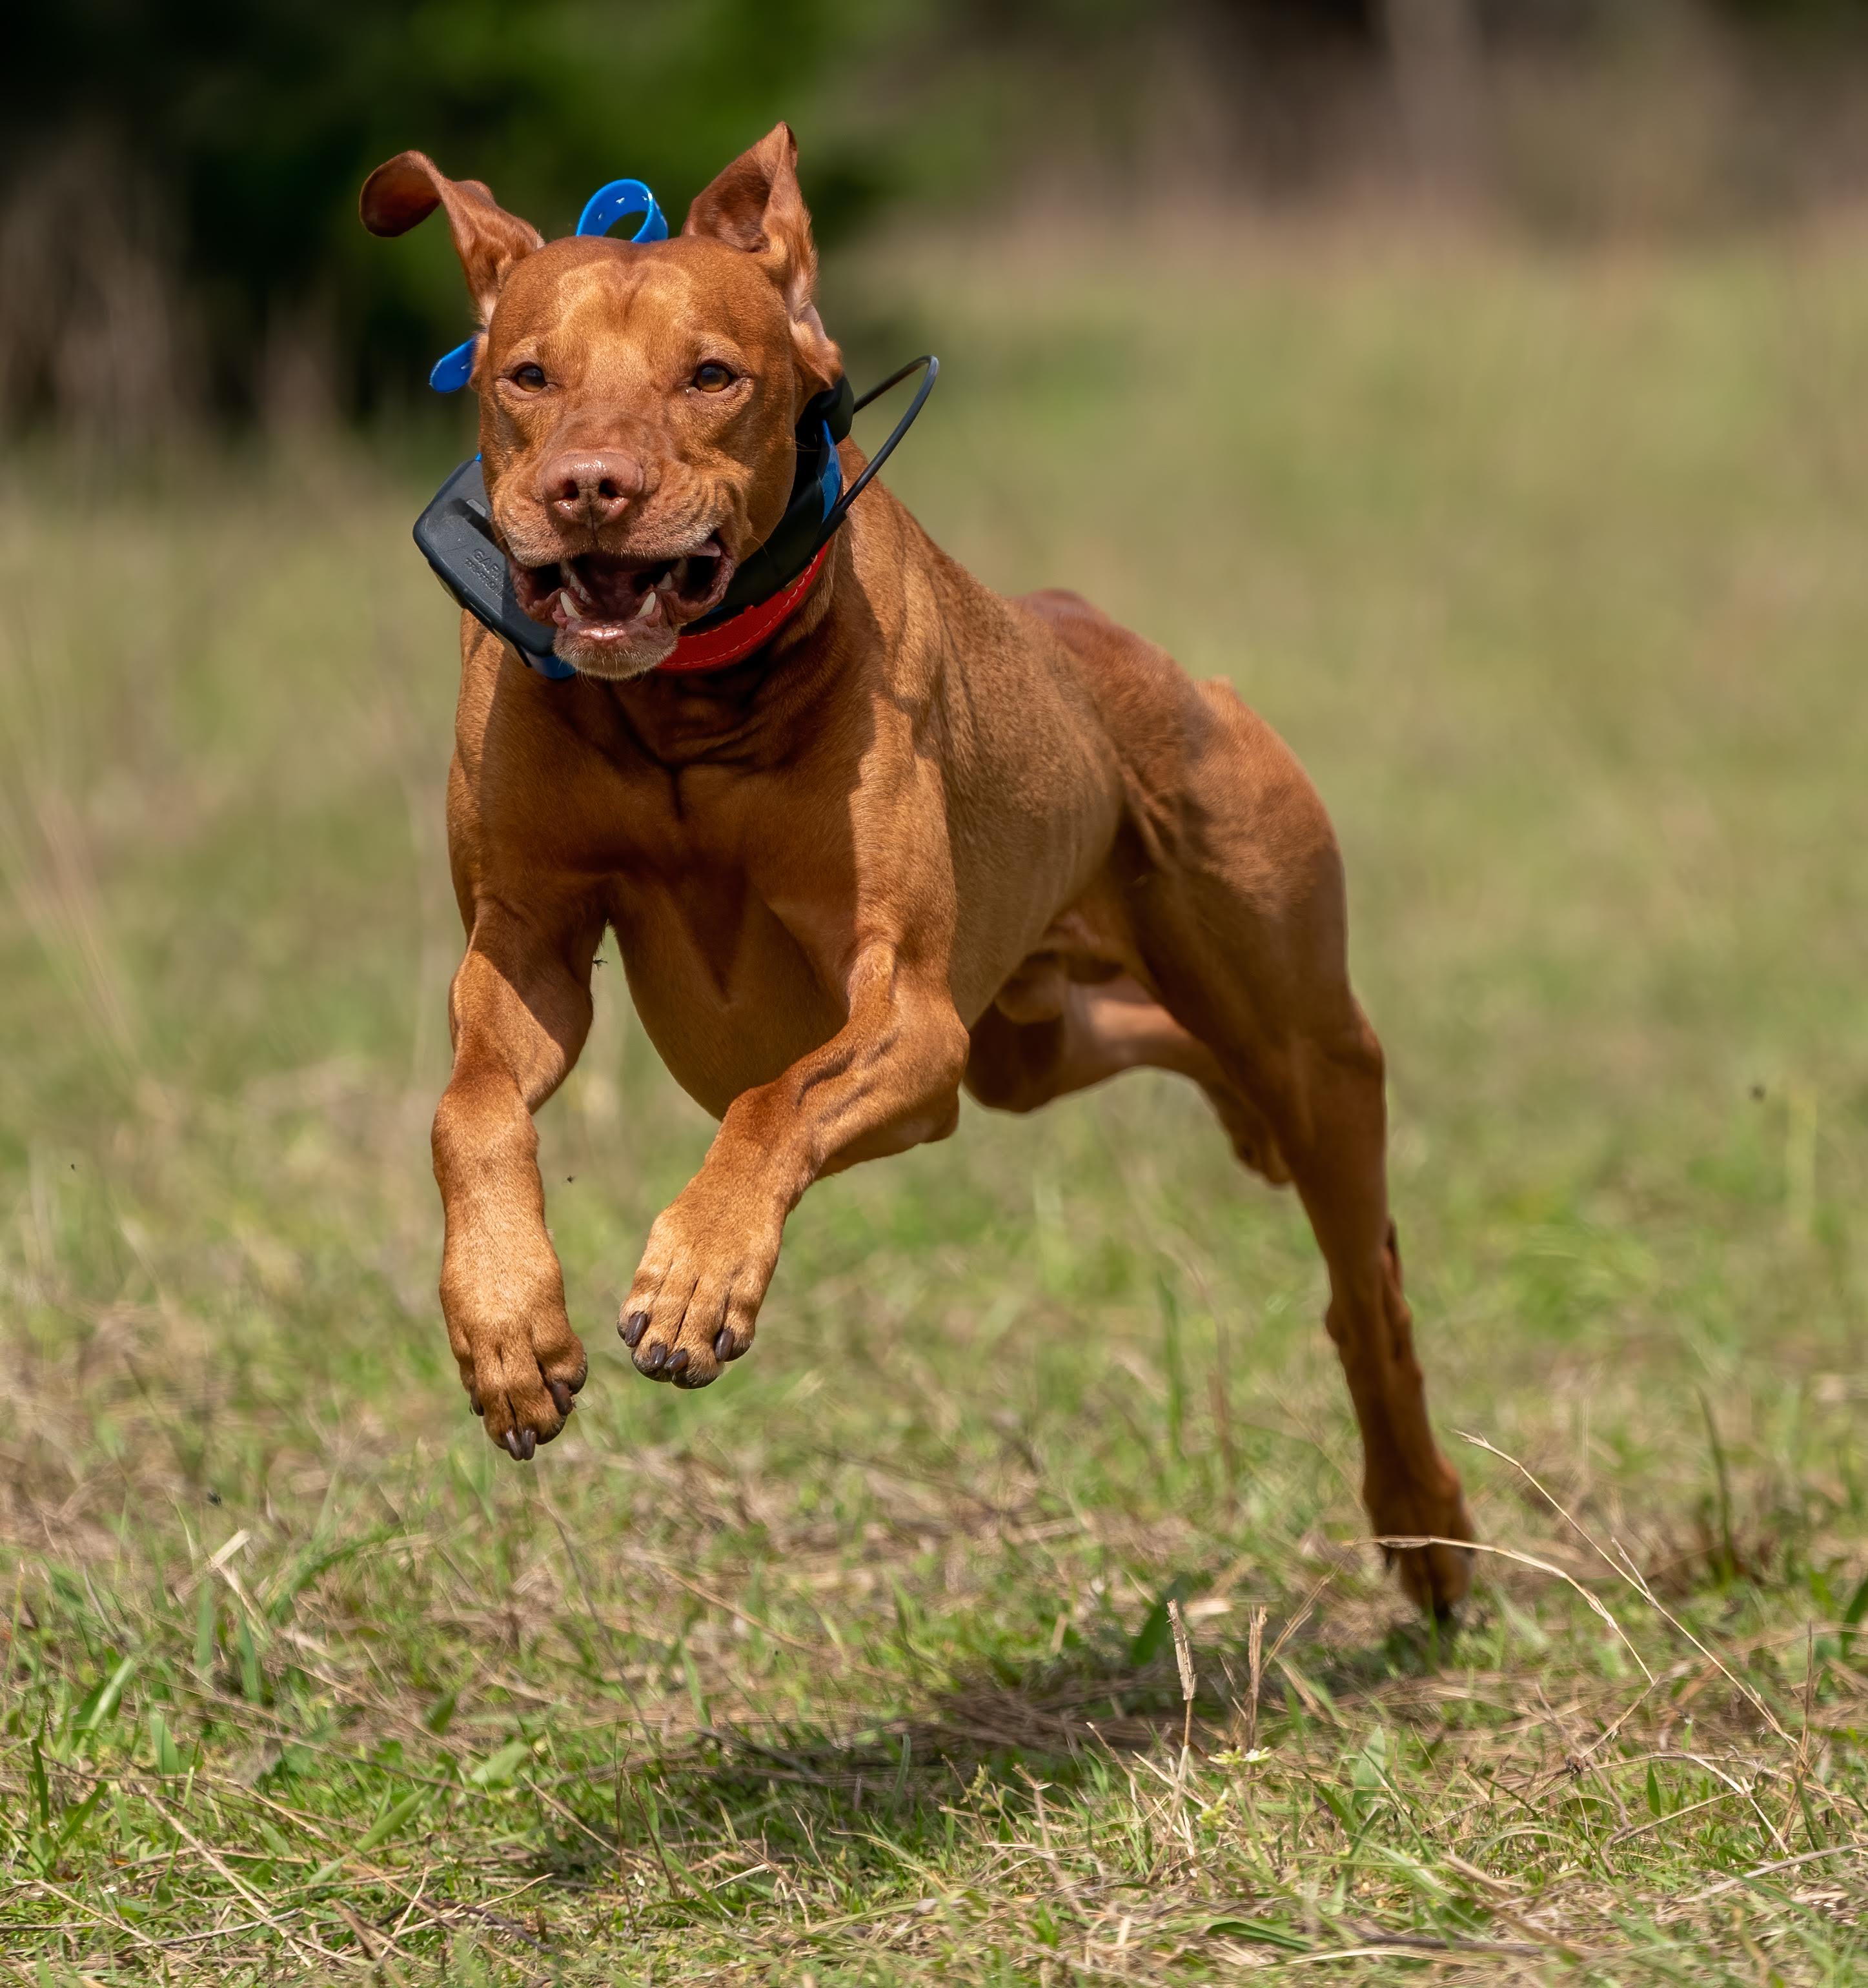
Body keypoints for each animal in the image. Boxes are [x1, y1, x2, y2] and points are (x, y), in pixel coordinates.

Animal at [361, 120, 1470, 1614]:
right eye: (526, 376)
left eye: (711, 374)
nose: (590, 489)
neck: (686, 705)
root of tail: (1127, 650)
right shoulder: (524, 940)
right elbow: (468, 1106)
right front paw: (505, 1326)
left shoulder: (906, 1008)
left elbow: (771, 1098)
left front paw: (698, 1270)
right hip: (1022, 1047)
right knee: (1157, 1040)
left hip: (1293, 1036)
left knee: (1365, 1282)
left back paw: (1425, 1520)